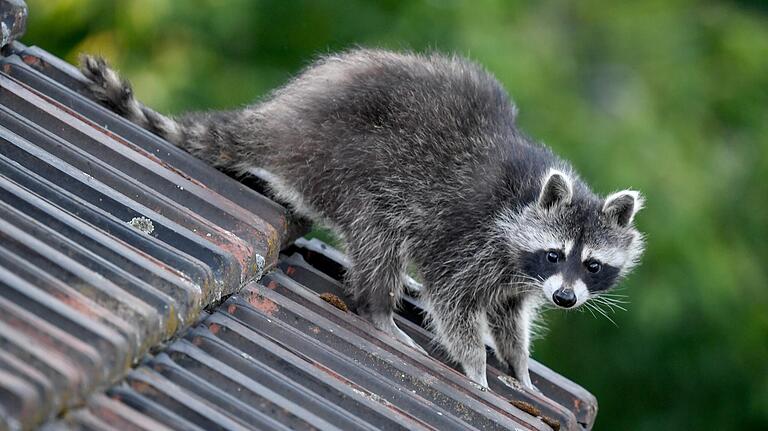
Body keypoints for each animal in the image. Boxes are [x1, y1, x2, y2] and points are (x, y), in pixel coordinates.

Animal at [81, 49, 644, 390]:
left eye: (592, 265)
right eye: (555, 253)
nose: (565, 298)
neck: (528, 197)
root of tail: (286, 121)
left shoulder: (517, 274)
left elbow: (509, 315)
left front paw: (518, 366)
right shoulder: (473, 235)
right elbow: (453, 298)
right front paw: (475, 367)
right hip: (355, 164)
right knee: (380, 233)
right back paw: (379, 310)